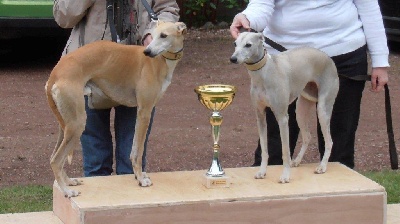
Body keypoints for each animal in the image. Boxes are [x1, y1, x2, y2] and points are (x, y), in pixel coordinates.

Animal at [230, 31, 340, 182]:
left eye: (248, 45)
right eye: (235, 44)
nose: (233, 59)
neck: (264, 72)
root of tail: (328, 58)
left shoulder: (282, 117)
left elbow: (285, 151)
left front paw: (285, 175)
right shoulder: (260, 116)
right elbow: (264, 149)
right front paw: (262, 171)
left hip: (322, 110)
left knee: (329, 141)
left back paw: (322, 167)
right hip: (300, 111)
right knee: (307, 137)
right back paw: (297, 161)